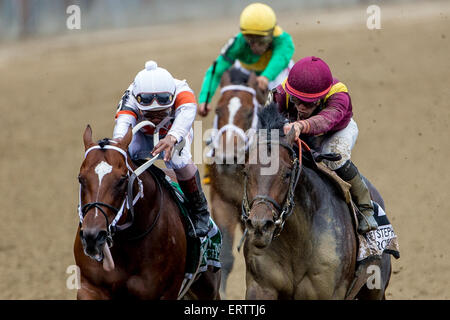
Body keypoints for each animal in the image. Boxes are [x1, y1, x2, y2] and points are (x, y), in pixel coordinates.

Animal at [74, 125, 221, 300]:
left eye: (122, 180)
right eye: (81, 178)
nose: (93, 236)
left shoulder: (164, 292)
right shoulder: (90, 287)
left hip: (208, 287)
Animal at [241, 104, 392, 298]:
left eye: (287, 174)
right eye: (246, 172)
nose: (260, 226)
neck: (297, 241)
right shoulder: (261, 286)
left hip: (375, 287)